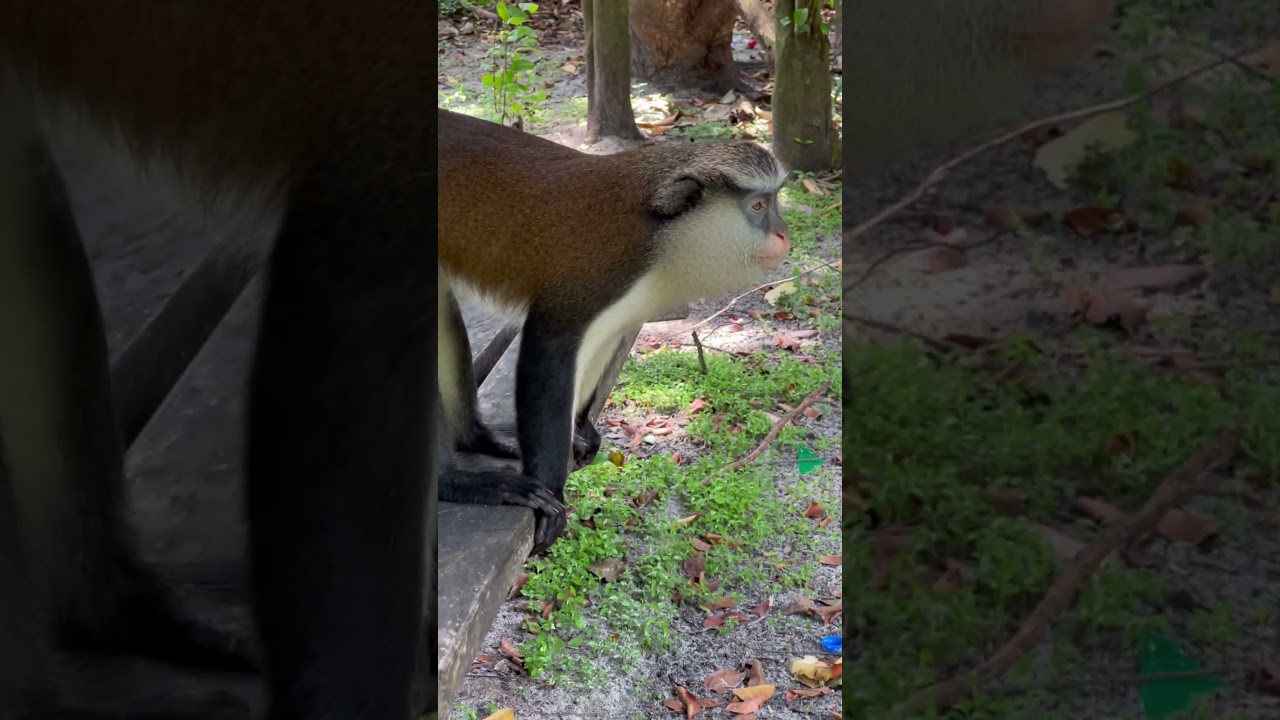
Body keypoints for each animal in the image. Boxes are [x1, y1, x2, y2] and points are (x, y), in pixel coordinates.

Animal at [437, 107, 792, 549]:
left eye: (774, 202)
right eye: (758, 206)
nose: (783, 233)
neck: (661, 232)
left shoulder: (626, 305)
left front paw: (581, 428)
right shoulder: (598, 277)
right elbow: (550, 349)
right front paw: (552, 494)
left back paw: (478, 439)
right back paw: (454, 481)